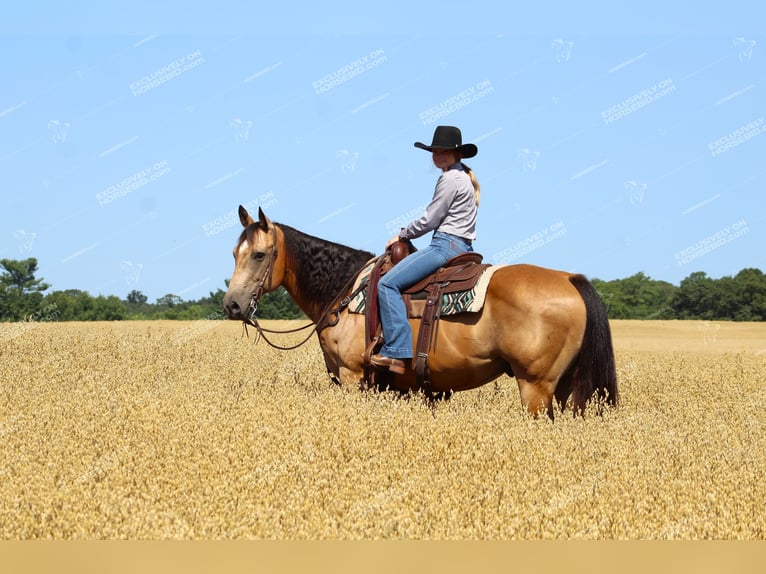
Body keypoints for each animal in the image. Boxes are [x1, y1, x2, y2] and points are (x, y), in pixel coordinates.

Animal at [220, 206, 616, 418]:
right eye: (234, 253)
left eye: (259, 254)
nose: (232, 305)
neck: (344, 292)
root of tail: (570, 279)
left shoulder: (351, 377)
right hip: (566, 388)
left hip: (535, 386)